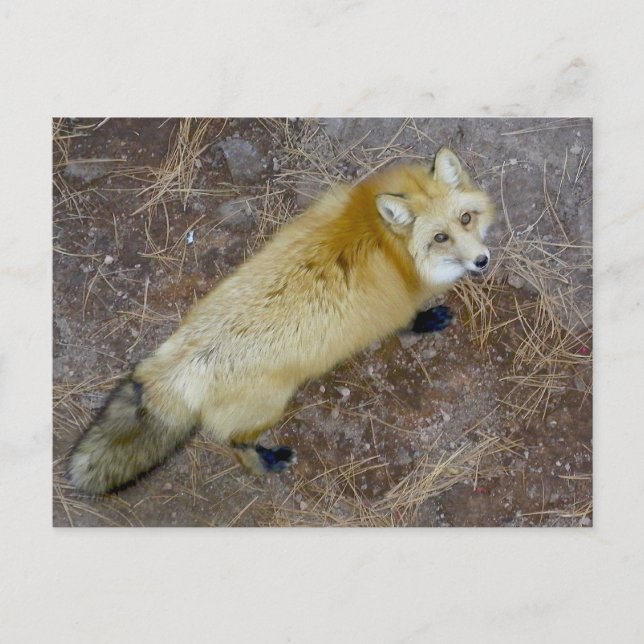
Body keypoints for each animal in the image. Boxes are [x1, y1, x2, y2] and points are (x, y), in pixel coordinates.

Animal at [68, 147, 495, 494]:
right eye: (440, 237)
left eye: (466, 218)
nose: (482, 261)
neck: (386, 244)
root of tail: (177, 368)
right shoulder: (392, 311)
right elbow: (409, 321)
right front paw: (429, 319)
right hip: (269, 409)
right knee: (235, 445)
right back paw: (267, 462)